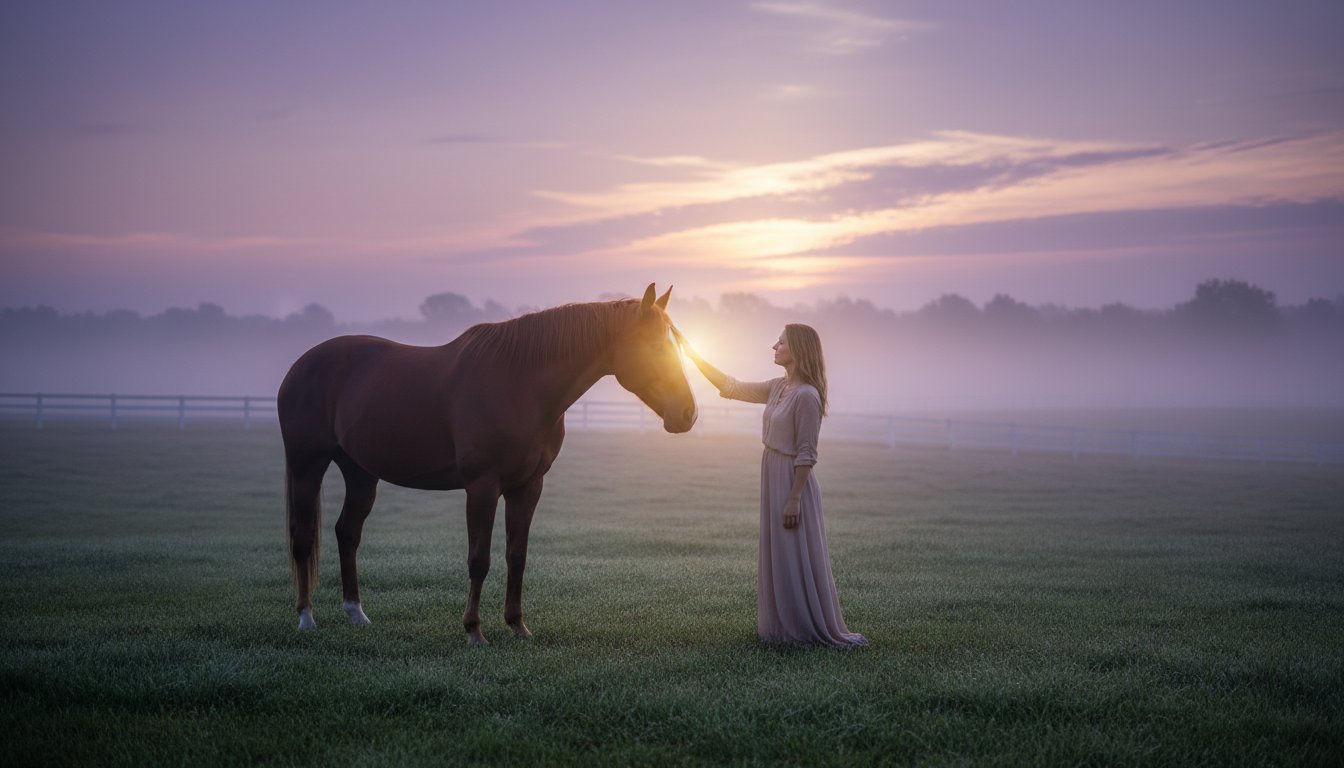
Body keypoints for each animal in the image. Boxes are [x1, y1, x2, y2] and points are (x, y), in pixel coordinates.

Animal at [277, 284, 696, 645]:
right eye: (655, 345)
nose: (688, 414)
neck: (519, 385)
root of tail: (300, 365)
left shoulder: (527, 486)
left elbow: (517, 555)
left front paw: (517, 626)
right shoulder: (482, 485)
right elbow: (479, 559)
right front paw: (474, 632)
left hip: (360, 472)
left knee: (347, 532)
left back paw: (356, 613)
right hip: (307, 465)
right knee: (303, 537)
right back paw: (306, 618)